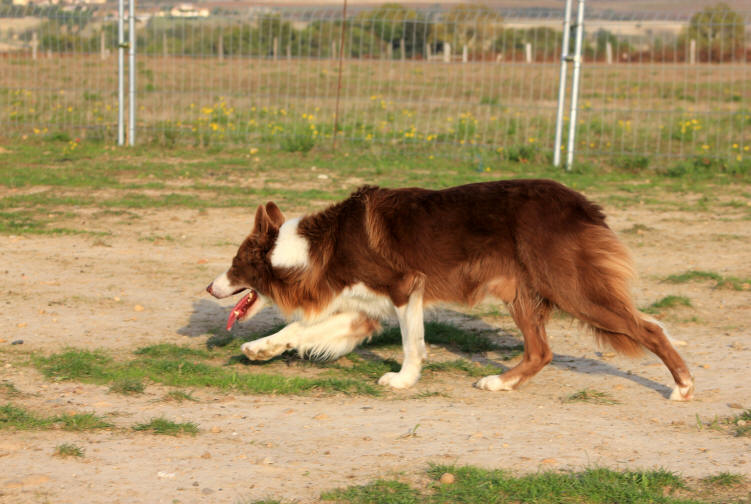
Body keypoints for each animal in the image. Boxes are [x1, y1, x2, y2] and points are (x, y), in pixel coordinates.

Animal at [204, 179, 692, 400]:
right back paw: (500, 382)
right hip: (520, 294)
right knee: (541, 351)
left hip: (571, 288)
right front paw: (262, 348)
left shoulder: (405, 288)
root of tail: (581, 202)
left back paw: (683, 386)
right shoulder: (362, 310)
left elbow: (412, 344)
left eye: (235, 264)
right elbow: (299, 331)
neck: (312, 249)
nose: (209, 287)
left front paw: (403, 380)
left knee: (650, 328)